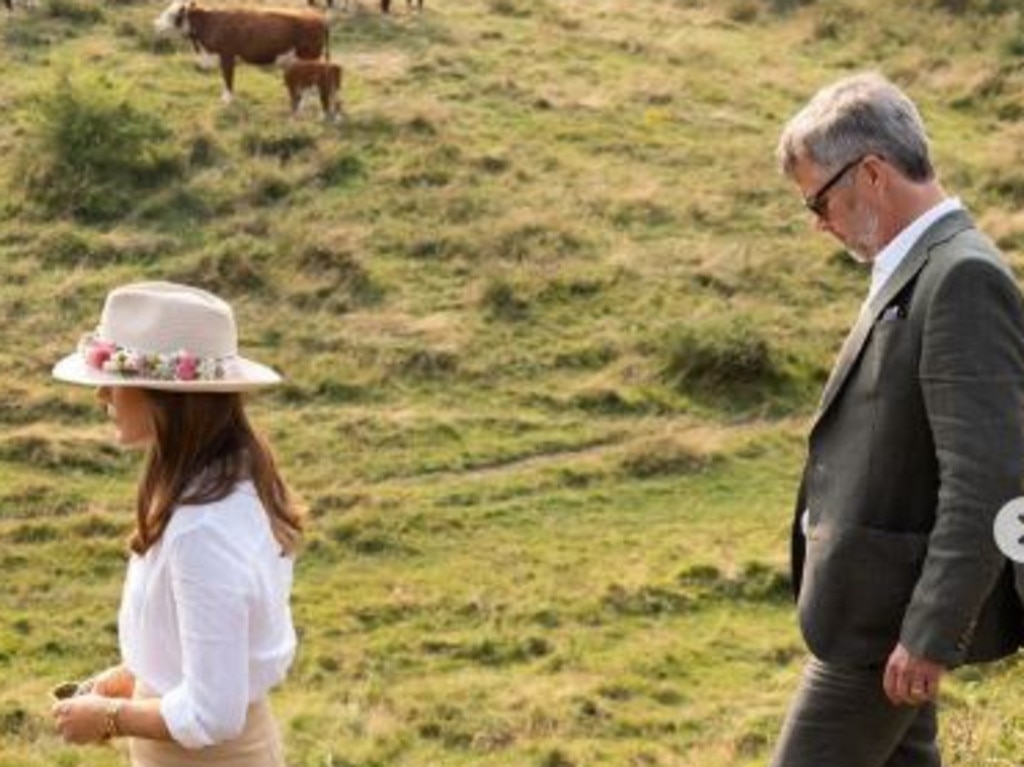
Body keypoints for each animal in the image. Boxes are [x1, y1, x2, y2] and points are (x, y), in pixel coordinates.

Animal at [154, 0, 327, 103]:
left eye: (172, 15)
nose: (155, 25)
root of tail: (317, 17)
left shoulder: (227, 56)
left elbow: (227, 78)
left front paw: (227, 100)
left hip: (309, 56)